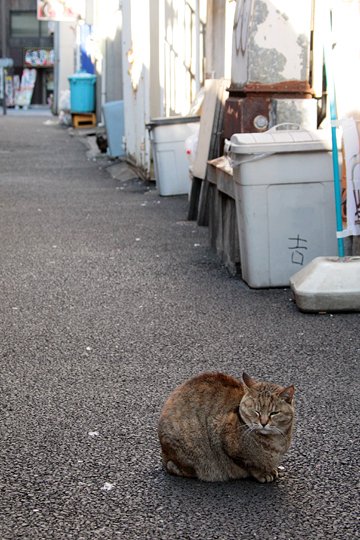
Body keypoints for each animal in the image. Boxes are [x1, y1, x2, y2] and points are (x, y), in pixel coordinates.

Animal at [158, 374, 296, 484]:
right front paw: (263, 473)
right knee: (175, 467)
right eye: (256, 411)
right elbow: (250, 464)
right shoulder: (222, 435)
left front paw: (271, 468)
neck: (274, 441)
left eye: (274, 413)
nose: (263, 423)